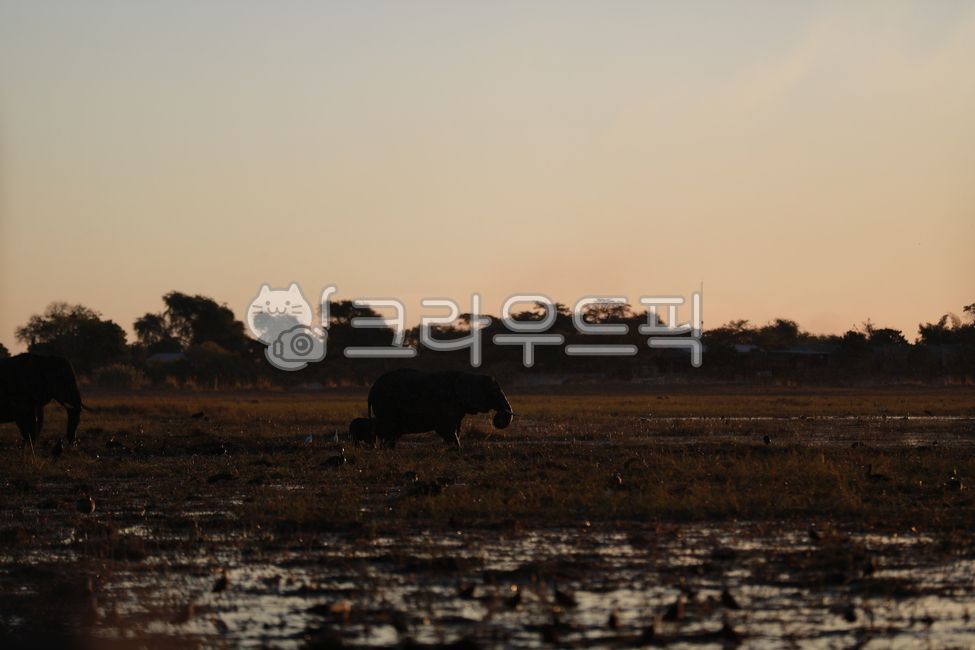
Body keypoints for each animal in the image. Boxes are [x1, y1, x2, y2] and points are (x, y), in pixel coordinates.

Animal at [364, 368, 513, 449]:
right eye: (493, 392)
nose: (499, 416)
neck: (469, 375)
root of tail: (371, 390)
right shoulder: (446, 404)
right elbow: (446, 429)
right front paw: (457, 449)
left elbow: (456, 429)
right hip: (386, 407)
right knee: (386, 430)